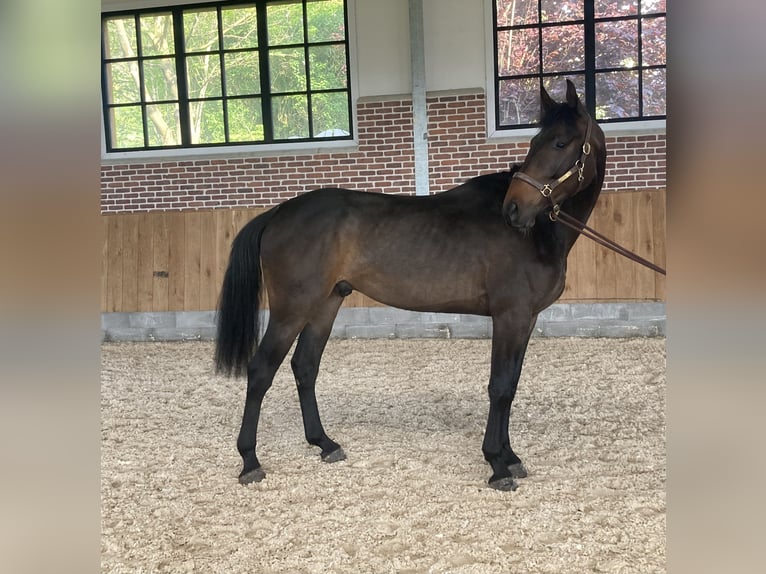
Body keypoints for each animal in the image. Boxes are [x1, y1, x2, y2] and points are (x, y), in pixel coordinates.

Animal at [214, 81, 608, 492]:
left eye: (560, 142)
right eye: (537, 142)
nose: (513, 209)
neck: (537, 235)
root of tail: (278, 212)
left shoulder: (526, 320)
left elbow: (511, 386)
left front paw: (511, 457)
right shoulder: (509, 317)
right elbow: (499, 387)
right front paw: (497, 463)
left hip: (325, 305)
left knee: (305, 367)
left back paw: (324, 443)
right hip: (291, 310)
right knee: (261, 371)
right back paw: (249, 460)